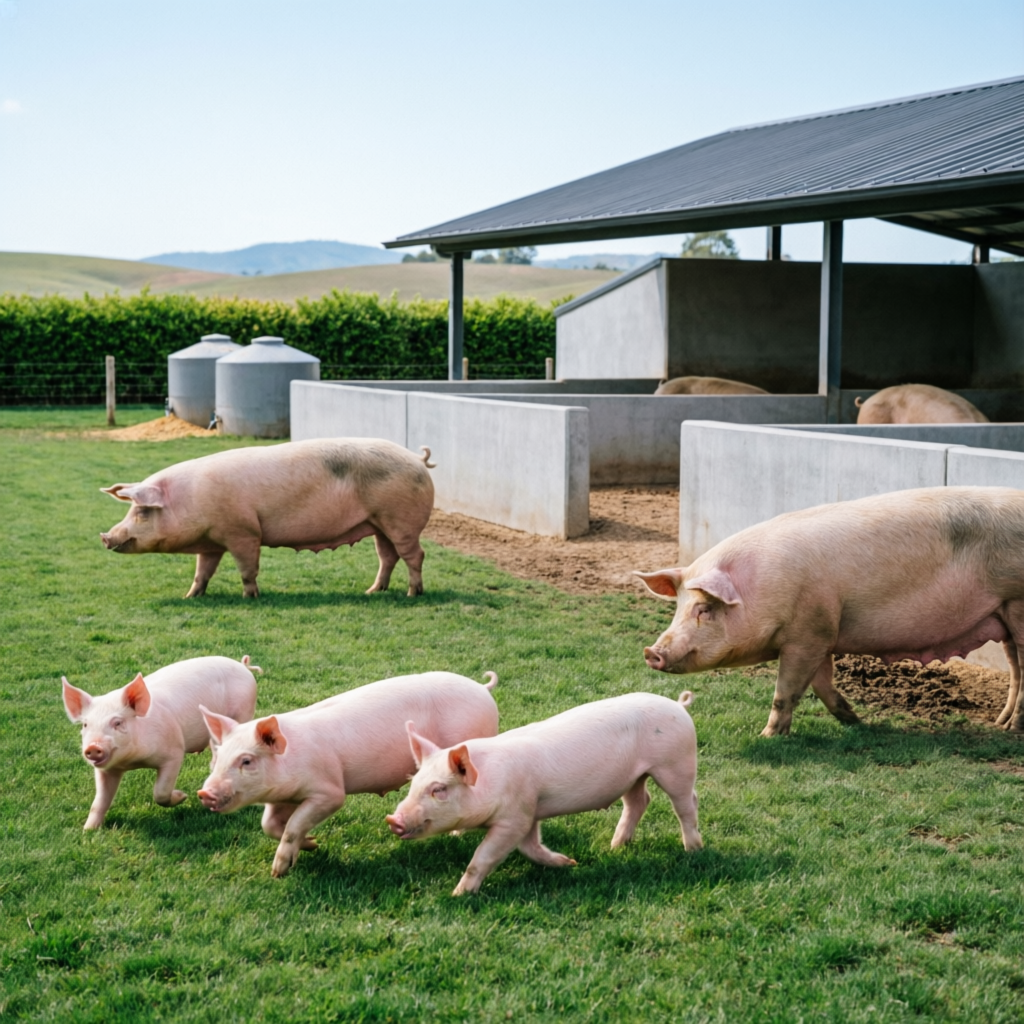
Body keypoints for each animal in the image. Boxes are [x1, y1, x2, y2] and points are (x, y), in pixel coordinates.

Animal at [62, 655, 260, 829]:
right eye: (86, 724)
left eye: (117, 723)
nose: (93, 747)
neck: (133, 762)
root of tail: (242, 666)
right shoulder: (106, 769)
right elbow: (100, 801)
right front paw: (88, 830)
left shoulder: (174, 752)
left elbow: (160, 792)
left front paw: (182, 796)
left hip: (243, 712)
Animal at [99, 437, 436, 598]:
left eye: (142, 511)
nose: (105, 536)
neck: (190, 500)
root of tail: (417, 459)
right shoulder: (212, 542)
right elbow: (202, 572)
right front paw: (189, 597)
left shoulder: (243, 532)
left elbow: (248, 569)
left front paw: (251, 597)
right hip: (380, 524)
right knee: (388, 556)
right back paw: (372, 591)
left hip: (401, 521)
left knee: (415, 555)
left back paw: (412, 593)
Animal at [196, 671, 500, 878]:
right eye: (219, 757)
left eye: (246, 761)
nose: (204, 792)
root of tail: (482, 688)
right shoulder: (282, 797)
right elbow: (269, 825)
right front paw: (312, 845)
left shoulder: (329, 791)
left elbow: (295, 824)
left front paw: (279, 871)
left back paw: (457, 835)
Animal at [385, 691, 702, 895]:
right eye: (413, 783)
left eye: (439, 789)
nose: (393, 819)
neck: (491, 782)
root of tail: (679, 706)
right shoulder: (530, 810)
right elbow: (531, 847)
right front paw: (569, 863)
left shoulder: (515, 816)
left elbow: (484, 856)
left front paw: (459, 894)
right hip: (634, 777)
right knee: (639, 801)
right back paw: (614, 847)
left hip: (676, 763)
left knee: (686, 803)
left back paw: (693, 850)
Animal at [637, 486, 1024, 736]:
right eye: (678, 608)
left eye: (704, 609)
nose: (651, 651)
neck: (762, 588)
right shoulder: (822, 632)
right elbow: (822, 685)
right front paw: (857, 721)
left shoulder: (808, 633)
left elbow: (786, 691)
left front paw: (766, 737)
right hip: (1003, 612)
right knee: (1015, 666)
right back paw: (1000, 724)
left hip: (1017, 600)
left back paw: (1012, 728)